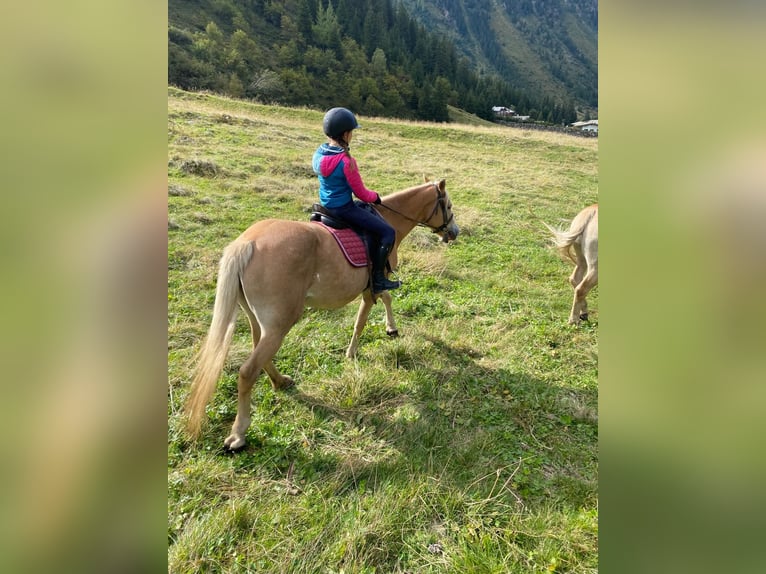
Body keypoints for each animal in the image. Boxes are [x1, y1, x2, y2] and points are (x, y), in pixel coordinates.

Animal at [186, 179, 462, 450]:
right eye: (447, 205)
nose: (454, 232)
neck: (388, 218)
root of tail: (248, 243)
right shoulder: (373, 286)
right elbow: (363, 319)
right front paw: (352, 352)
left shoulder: (373, 287)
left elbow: (386, 299)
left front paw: (391, 328)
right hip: (279, 325)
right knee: (247, 372)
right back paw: (239, 435)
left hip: (258, 321)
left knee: (259, 355)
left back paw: (280, 382)